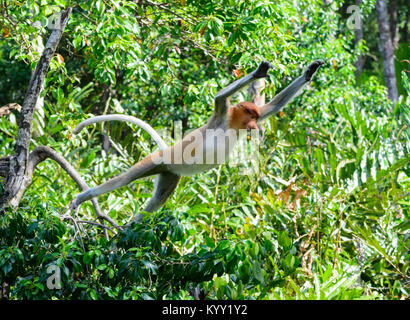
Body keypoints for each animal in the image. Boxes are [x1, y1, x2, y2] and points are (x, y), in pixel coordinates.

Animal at [67, 58, 324, 221]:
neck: (232, 125)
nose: (254, 127)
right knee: (124, 179)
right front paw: (258, 72)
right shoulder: (222, 114)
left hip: (170, 175)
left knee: (157, 201)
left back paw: (131, 226)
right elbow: (220, 96)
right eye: (250, 116)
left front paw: (309, 72)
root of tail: (167, 152)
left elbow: (273, 106)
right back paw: (83, 197)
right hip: (156, 160)